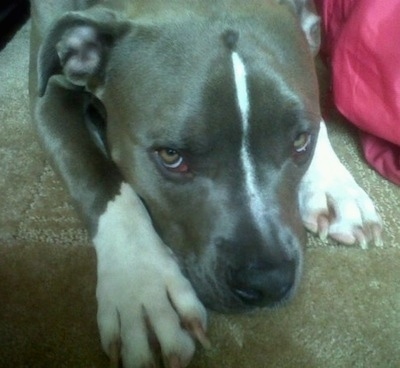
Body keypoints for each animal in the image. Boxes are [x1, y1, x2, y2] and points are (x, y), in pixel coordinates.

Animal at [27, 0, 382, 368]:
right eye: (171, 156)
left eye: (300, 141)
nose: (268, 281)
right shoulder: (47, 93)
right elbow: (100, 177)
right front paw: (142, 286)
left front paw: (334, 185)